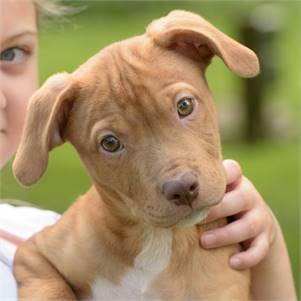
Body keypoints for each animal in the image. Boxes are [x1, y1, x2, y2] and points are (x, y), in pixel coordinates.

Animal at [12, 9, 258, 300]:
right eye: (110, 143)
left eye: (184, 106)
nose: (182, 189)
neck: (156, 239)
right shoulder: (35, 252)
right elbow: (51, 288)